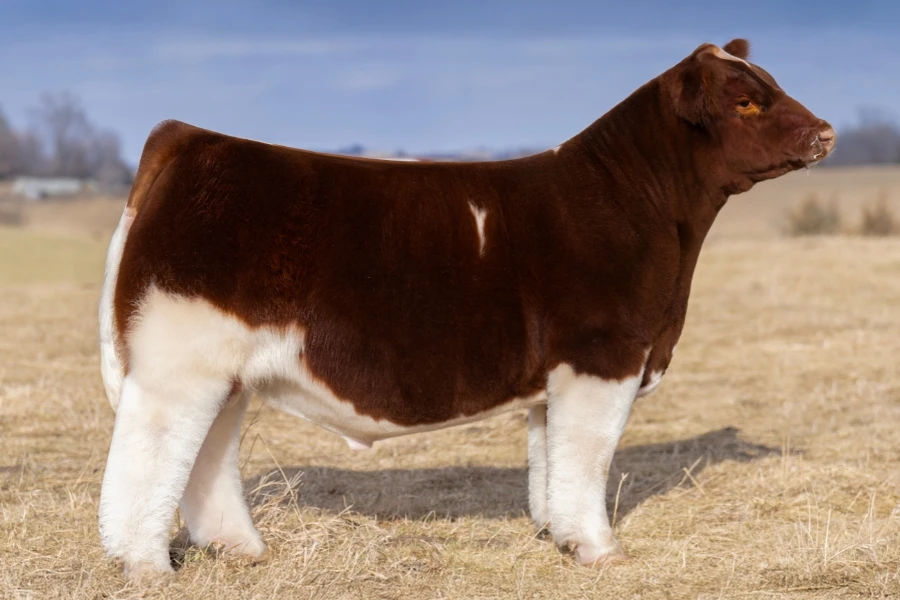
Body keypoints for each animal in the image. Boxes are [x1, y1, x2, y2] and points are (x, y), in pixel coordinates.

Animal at [98, 38, 834, 579]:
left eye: (770, 83)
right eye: (746, 102)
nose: (826, 131)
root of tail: (194, 138)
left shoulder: (558, 377)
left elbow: (550, 457)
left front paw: (557, 535)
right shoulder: (602, 355)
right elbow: (589, 455)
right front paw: (601, 551)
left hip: (224, 373)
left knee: (206, 456)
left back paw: (240, 548)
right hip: (179, 361)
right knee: (149, 454)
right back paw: (146, 566)